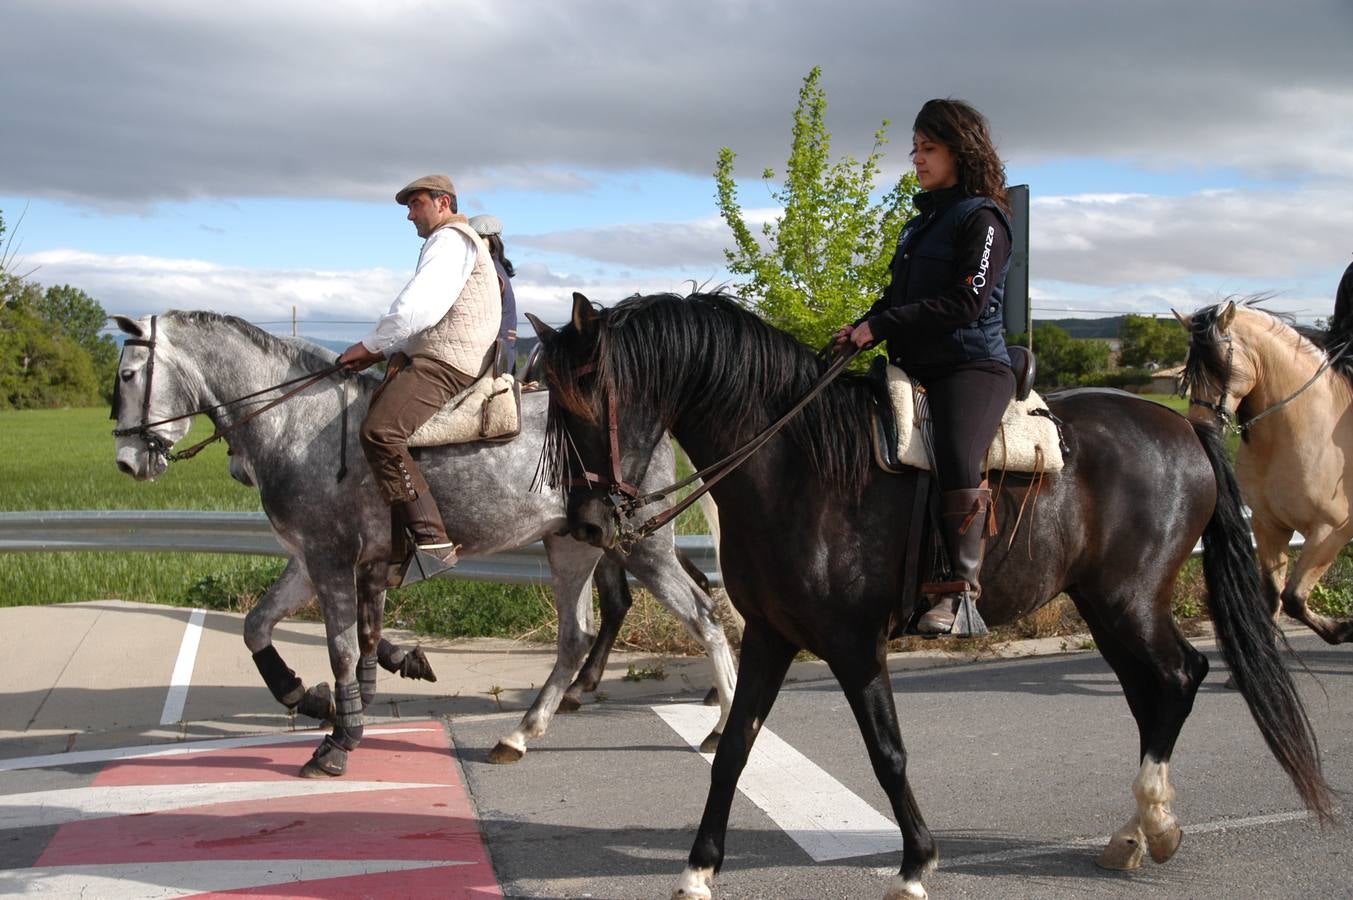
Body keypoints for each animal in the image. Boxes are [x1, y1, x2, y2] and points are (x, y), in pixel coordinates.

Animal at [110, 311, 736, 774]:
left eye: (128, 375)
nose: (126, 461)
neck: (294, 423)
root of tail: (651, 419)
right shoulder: (311, 559)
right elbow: (258, 624)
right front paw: (304, 696)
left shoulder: (331, 559)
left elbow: (343, 648)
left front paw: (338, 741)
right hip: (574, 545)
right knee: (576, 637)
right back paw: (519, 734)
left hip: (640, 546)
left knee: (704, 615)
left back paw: (721, 725)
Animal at [527, 290, 1331, 893]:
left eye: (585, 403)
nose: (587, 525)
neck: (796, 467)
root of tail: (1187, 430)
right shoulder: (771, 637)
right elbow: (735, 747)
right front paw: (697, 871)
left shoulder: (854, 644)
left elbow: (887, 752)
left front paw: (916, 864)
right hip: (1106, 606)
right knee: (1153, 692)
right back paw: (1136, 833)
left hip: (1129, 600)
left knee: (1179, 676)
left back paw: (1155, 826)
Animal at [1174, 303, 1353, 646]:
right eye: (1190, 366)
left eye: (1221, 364)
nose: (1200, 428)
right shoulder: (1269, 525)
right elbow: (1273, 597)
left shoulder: (1330, 530)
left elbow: (1294, 598)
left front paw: (1341, 629)